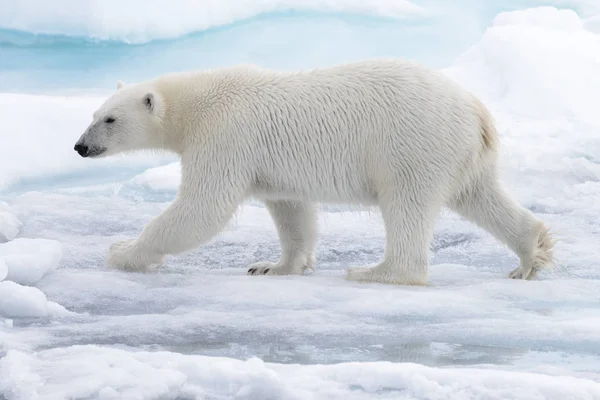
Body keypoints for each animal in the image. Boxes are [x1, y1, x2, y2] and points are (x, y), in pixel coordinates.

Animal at [72, 58, 556, 284]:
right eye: (93, 113)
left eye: (109, 119)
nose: (80, 147)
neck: (194, 104)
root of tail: (476, 109)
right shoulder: (271, 164)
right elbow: (291, 211)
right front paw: (273, 266)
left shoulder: (225, 135)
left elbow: (202, 207)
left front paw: (123, 251)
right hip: (461, 154)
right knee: (480, 196)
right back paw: (530, 255)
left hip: (410, 142)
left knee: (406, 203)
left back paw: (376, 272)